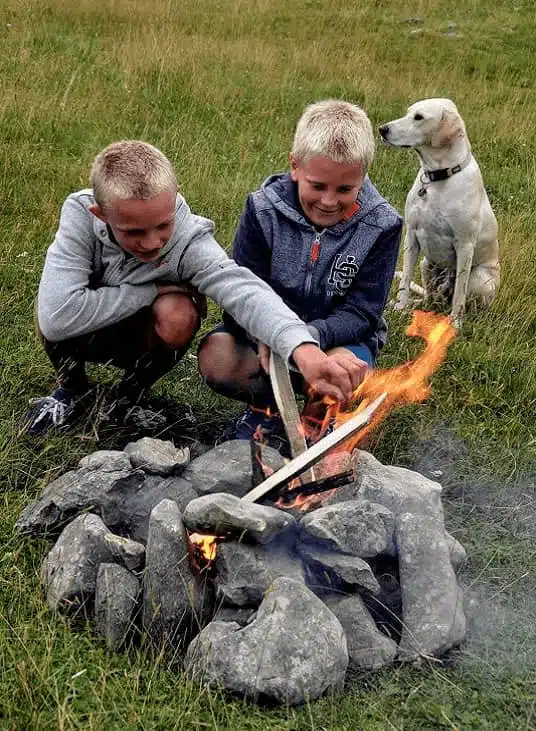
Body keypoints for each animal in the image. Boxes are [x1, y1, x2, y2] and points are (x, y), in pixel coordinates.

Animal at [378, 98, 500, 328]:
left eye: (419, 117)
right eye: (408, 112)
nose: (382, 129)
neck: (437, 178)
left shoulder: (465, 245)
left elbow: (459, 293)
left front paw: (454, 324)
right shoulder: (412, 235)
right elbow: (405, 279)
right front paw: (400, 308)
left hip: (480, 279)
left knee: (467, 301)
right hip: (427, 264)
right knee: (428, 296)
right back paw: (413, 304)